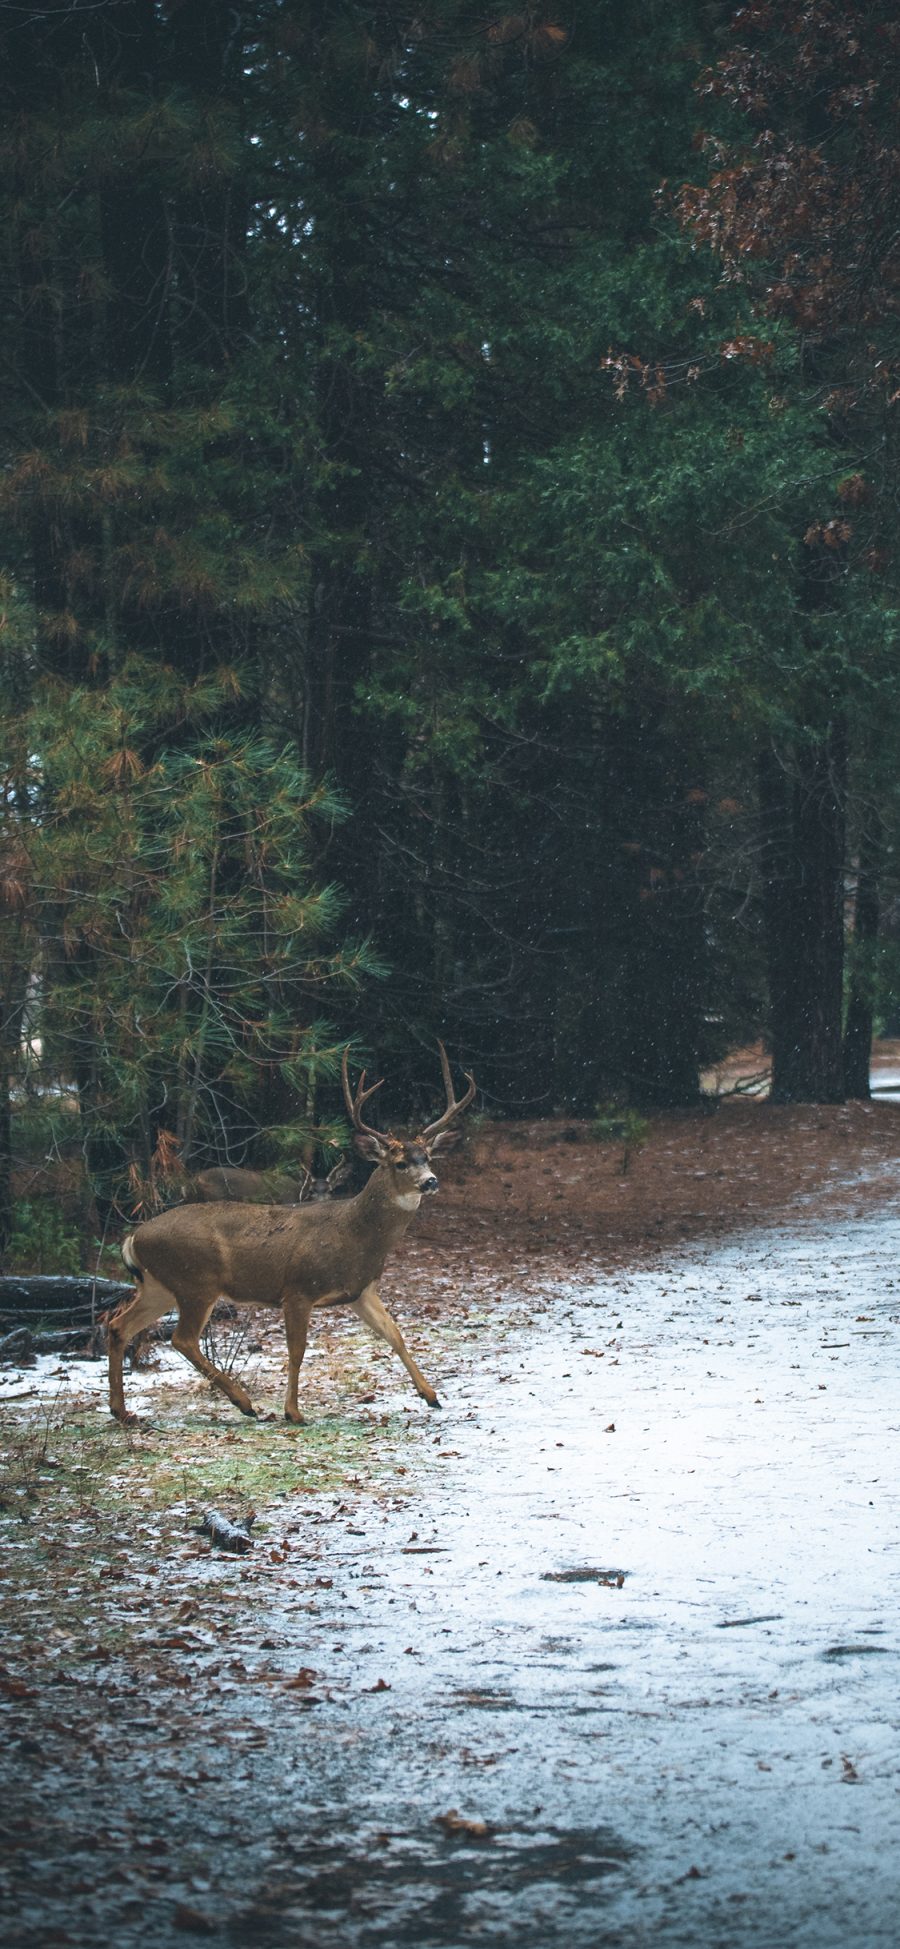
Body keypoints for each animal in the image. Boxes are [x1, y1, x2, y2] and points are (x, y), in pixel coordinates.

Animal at [108, 1044, 475, 1426]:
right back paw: (245, 1402)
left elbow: (395, 1334)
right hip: (196, 1281)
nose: (430, 1181)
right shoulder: (298, 1288)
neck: (354, 1234)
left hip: (160, 1286)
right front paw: (293, 1412)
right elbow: (297, 1350)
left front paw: (431, 1395)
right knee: (182, 1339)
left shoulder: (360, 1290)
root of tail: (134, 1239)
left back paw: (122, 1411)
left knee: (119, 1326)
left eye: (427, 1156)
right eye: (400, 1163)